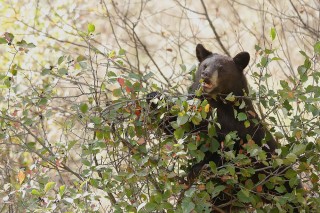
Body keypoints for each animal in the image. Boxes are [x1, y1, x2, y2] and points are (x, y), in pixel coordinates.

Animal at [148, 44, 300, 211]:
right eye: (204, 65)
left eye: (221, 68)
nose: (206, 74)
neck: (216, 101)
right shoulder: (197, 111)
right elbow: (179, 126)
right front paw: (154, 97)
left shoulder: (239, 126)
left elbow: (230, 150)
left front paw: (198, 167)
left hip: (283, 179)